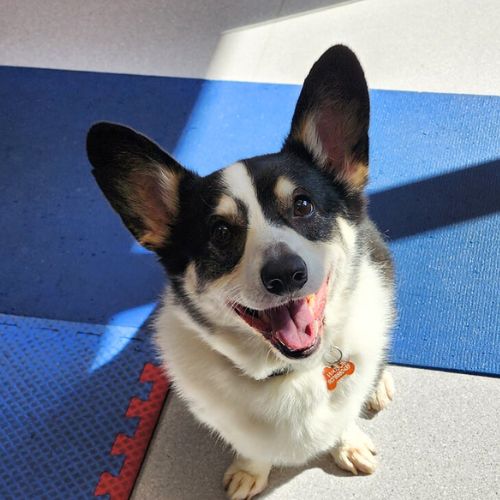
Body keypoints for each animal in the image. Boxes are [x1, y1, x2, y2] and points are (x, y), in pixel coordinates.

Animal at [88, 45, 396, 498]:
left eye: (303, 205)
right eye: (220, 232)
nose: (286, 274)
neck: (288, 373)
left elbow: (344, 418)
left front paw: (349, 443)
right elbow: (251, 449)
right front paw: (250, 472)